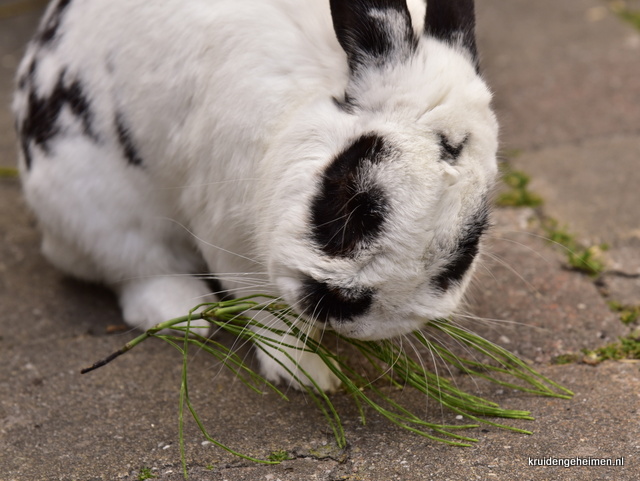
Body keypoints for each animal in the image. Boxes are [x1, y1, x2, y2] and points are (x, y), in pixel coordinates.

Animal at [12, 0, 498, 392]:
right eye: (350, 200)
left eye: (467, 247)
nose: (354, 313)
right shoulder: (231, 231)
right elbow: (270, 314)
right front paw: (312, 377)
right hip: (96, 207)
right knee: (136, 269)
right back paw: (188, 315)